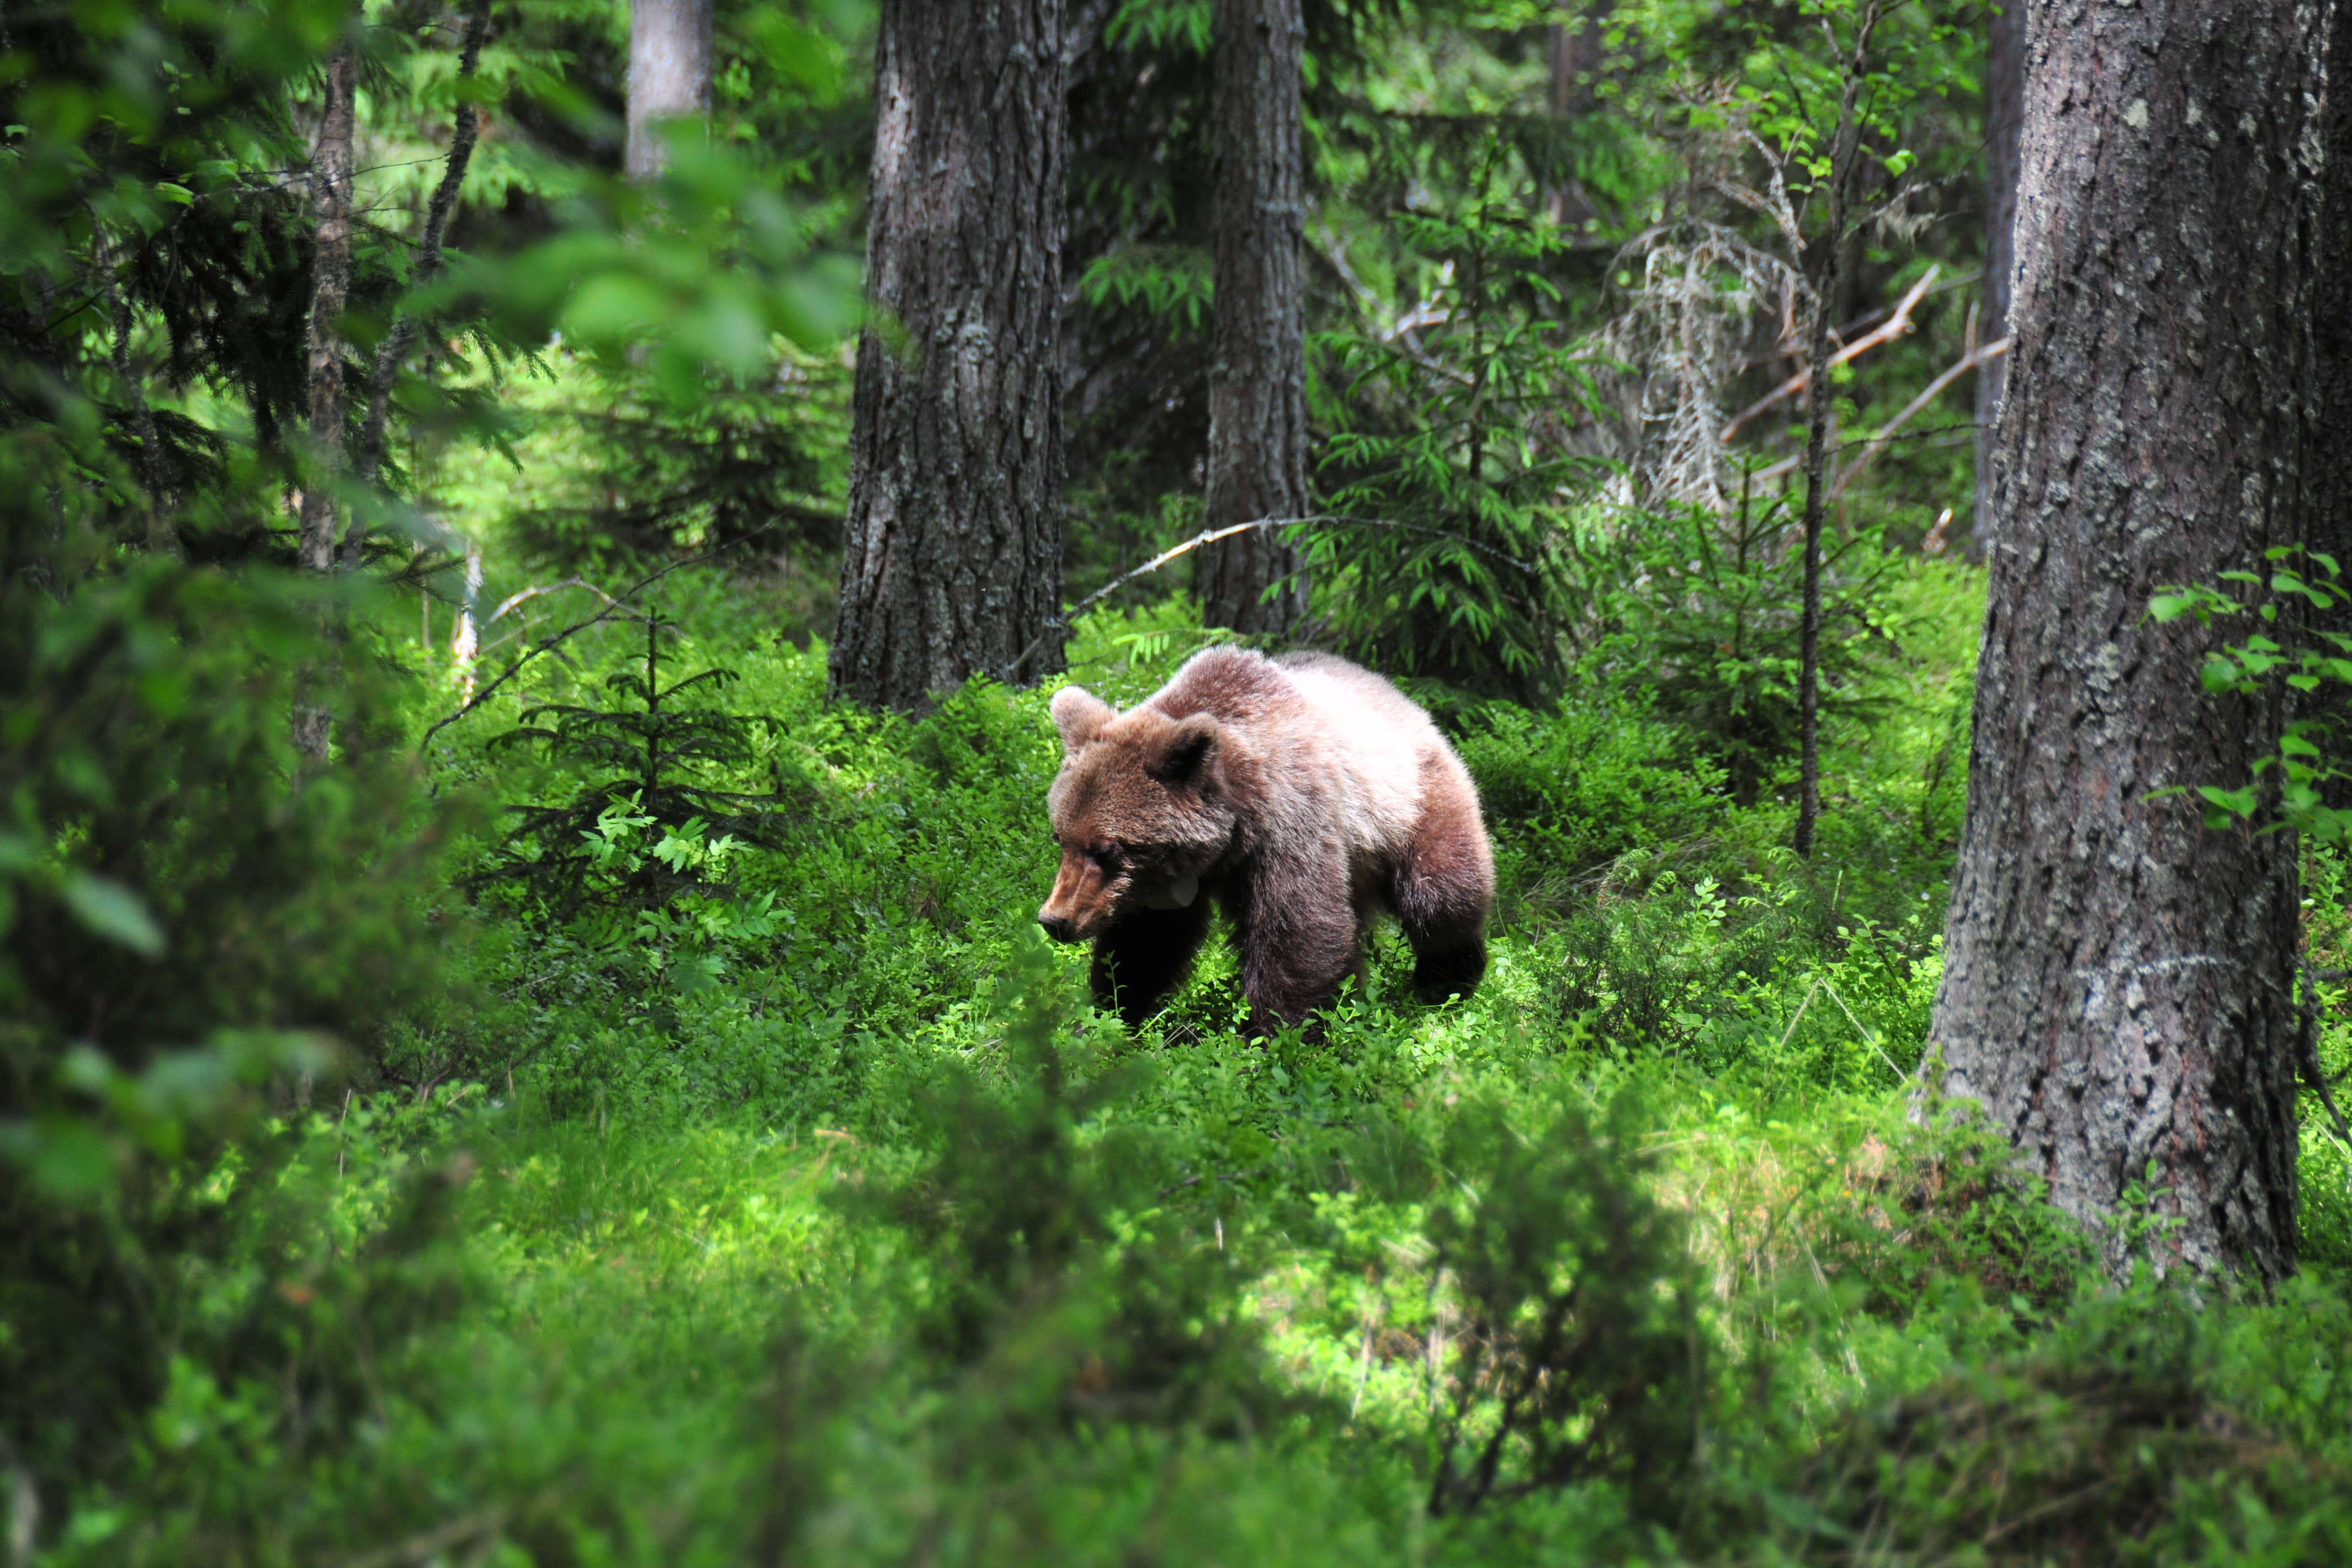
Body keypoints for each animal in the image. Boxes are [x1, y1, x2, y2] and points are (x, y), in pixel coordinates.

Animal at [1044, 649, 1495, 1029]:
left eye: (1106, 849)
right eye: (1060, 836)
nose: (1054, 920)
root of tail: (1403, 697)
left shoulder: (1290, 824)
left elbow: (1298, 929)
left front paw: (1275, 1035)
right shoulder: (1162, 883)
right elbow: (1145, 942)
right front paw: (1111, 1015)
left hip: (1411, 805)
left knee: (1441, 897)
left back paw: (1447, 981)